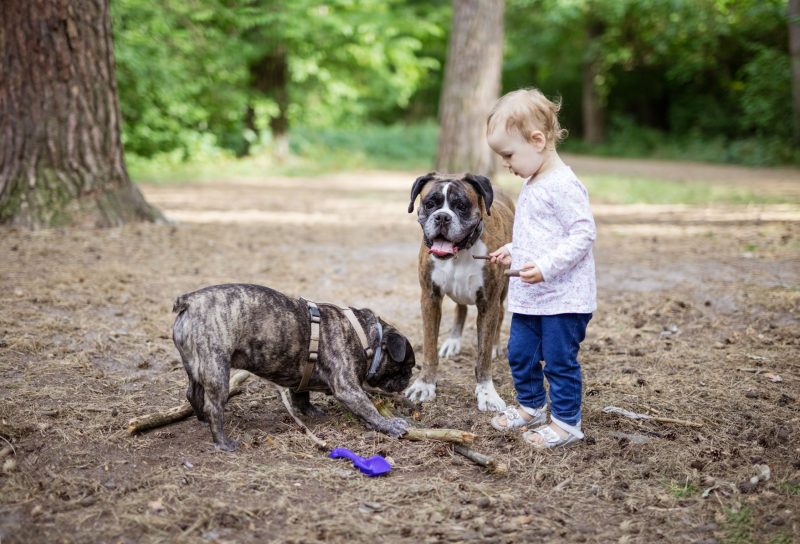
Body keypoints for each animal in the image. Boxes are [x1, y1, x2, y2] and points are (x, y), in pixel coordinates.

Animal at [172, 284, 416, 450]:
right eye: (408, 366)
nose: (408, 380)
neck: (365, 337)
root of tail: (189, 301)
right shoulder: (348, 388)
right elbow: (369, 408)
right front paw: (389, 425)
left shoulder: (301, 376)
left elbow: (301, 395)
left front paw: (310, 411)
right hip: (217, 369)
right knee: (214, 406)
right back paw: (223, 442)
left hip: (195, 365)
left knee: (192, 393)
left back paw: (202, 420)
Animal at [406, 172, 512, 410]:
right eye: (430, 204)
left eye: (461, 206)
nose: (442, 217)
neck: (460, 253)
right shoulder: (430, 298)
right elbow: (429, 348)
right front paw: (425, 385)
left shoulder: (488, 303)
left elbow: (483, 357)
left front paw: (487, 393)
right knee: (460, 309)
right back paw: (452, 342)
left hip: (502, 293)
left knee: (500, 316)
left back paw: (495, 346)